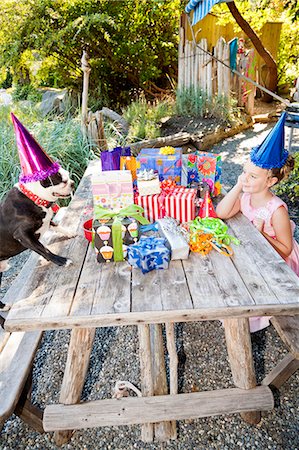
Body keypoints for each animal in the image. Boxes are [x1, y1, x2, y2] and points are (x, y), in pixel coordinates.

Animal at [0, 167, 75, 312]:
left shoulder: (46, 220)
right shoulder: (22, 235)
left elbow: (56, 225)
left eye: (68, 175)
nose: (73, 183)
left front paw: (69, 232)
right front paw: (61, 261)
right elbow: (44, 249)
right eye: (62, 181)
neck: (34, 197)